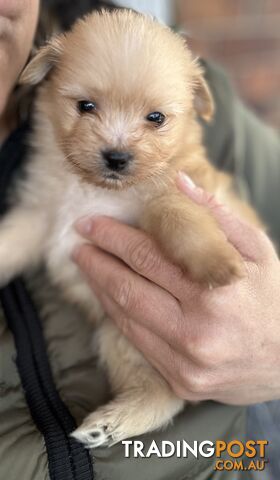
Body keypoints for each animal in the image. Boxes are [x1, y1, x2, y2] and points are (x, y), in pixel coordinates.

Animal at [0, 9, 260, 448]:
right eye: (85, 106)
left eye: (156, 118)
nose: (117, 157)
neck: (94, 190)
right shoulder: (40, 217)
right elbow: (9, 241)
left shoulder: (172, 193)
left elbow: (177, 215)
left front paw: (216, 261)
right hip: (118, 336)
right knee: (161, 395)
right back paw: (109, 423)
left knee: (166, 396)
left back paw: (110, 422)